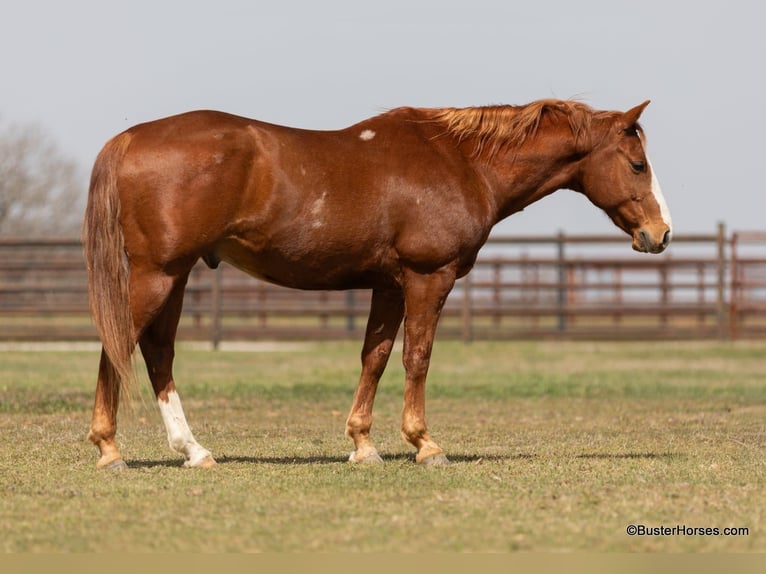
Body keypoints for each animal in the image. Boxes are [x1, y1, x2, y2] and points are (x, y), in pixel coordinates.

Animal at [82, 98, 672, 469]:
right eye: (637, 165)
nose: (660, 234)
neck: (461, 162)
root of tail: (128, 138)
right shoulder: (428, 278)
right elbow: (417, 357)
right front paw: (425, 444)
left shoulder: (388, 285)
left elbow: (376, 356)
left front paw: (363, 445)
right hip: (158, 275)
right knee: (119, 345)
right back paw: (110, 450)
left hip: (175, 276)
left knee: (157, 352)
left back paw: (193, 450)